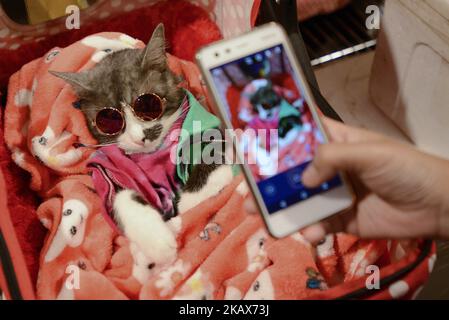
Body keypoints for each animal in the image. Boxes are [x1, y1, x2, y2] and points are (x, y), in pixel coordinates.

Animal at [50, 25, 233, 268]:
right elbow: (118, 196)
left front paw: (185, 208)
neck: (153, 155)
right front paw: (158, 242)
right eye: (108, 119)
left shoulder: (209, 131)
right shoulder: (109, 171)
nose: (140, 137)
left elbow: (213, 159)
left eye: (147, 104)